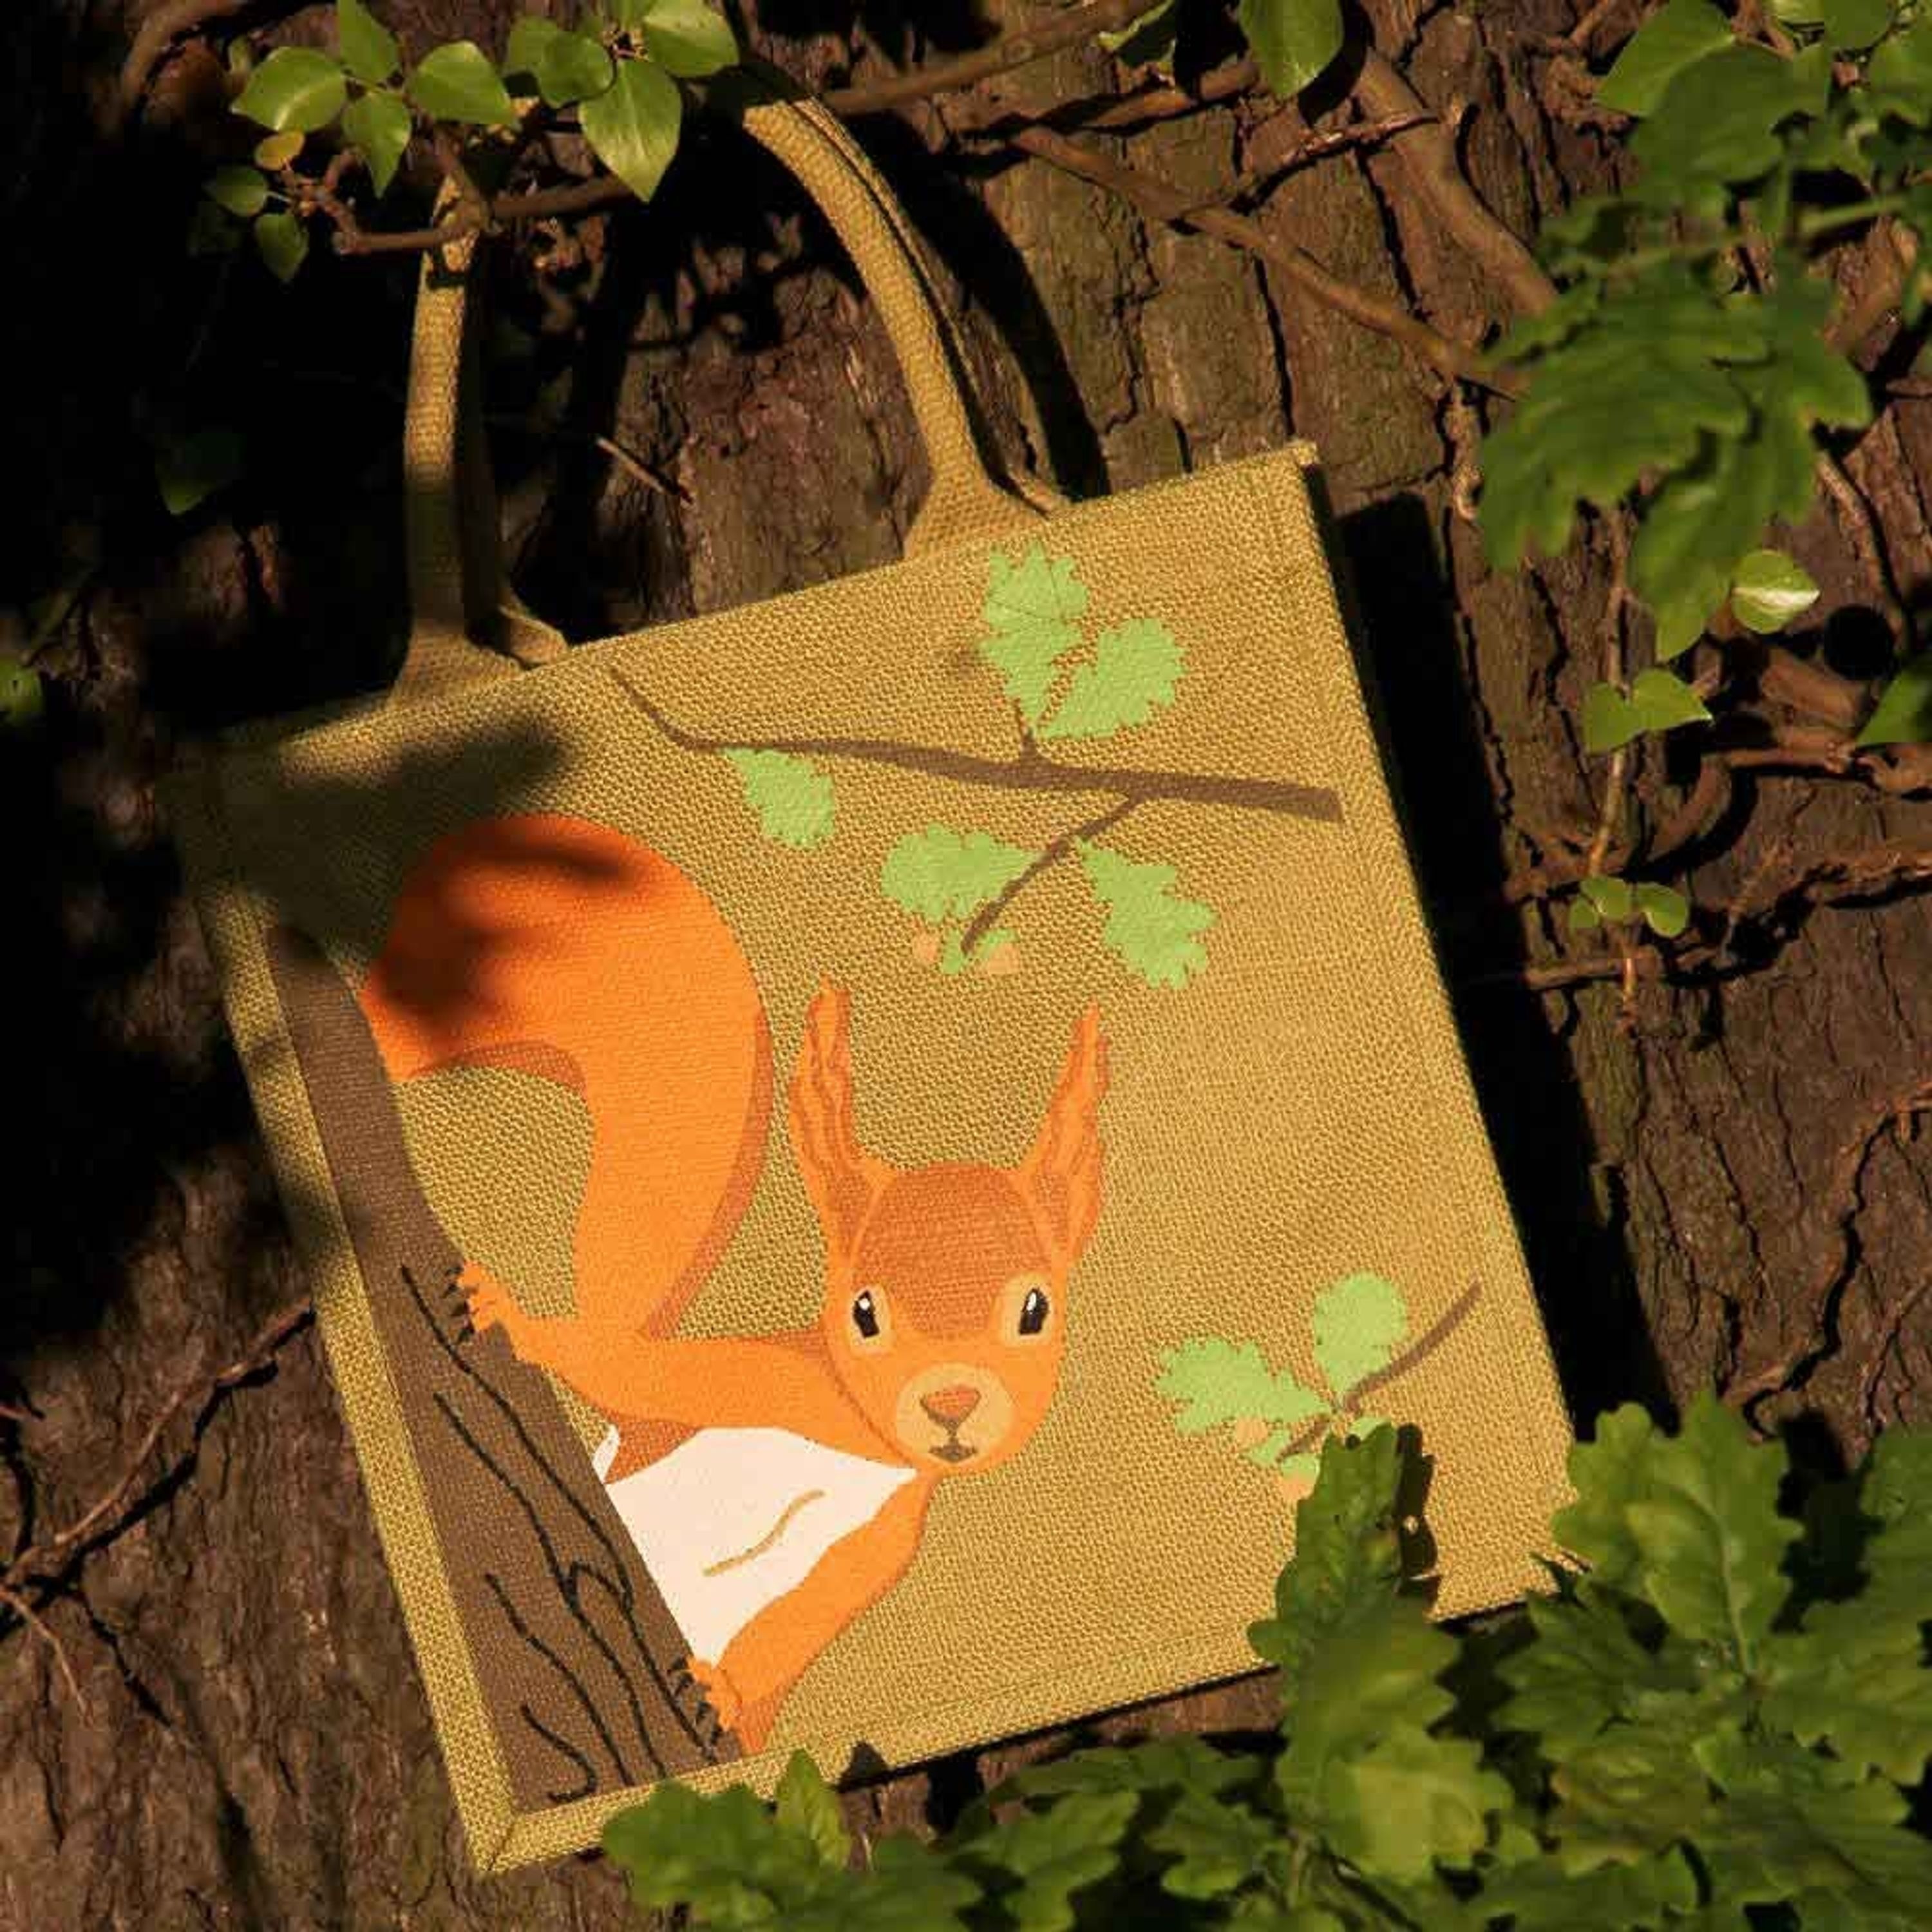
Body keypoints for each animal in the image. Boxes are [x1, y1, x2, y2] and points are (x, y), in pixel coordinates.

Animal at [359, 812, 1110, 1754]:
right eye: (863, 1313)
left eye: (1037, 1310)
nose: (952, 1404)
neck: (858, 1433)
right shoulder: (764, 1378)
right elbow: (632, 1373)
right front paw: (519, 1324)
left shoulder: (892, 1533)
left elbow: (809, 1614)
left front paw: (725, 1691)